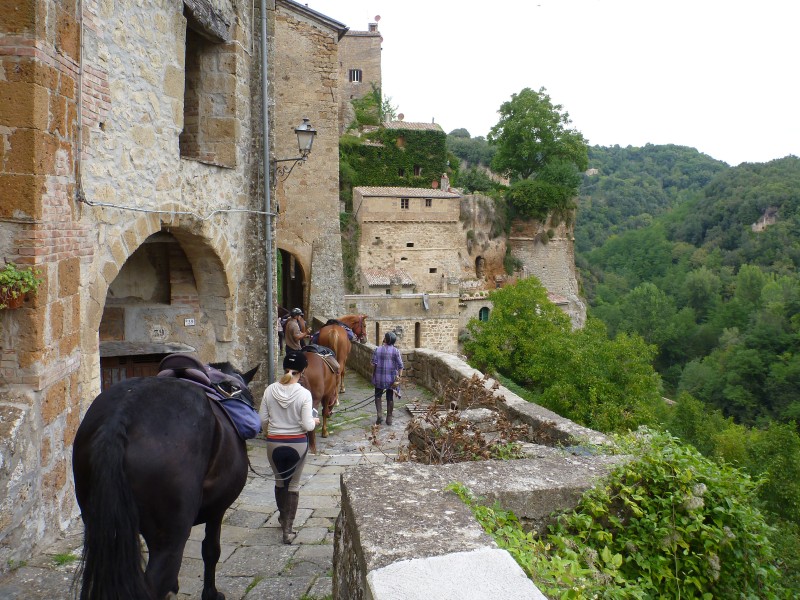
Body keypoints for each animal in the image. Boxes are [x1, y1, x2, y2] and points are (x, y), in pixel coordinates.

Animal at [72, 358, 258, 596]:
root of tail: (120, 418)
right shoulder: (218, 509)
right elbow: (211, 550)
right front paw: (211, 594)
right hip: (169, 538)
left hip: (101, 529)